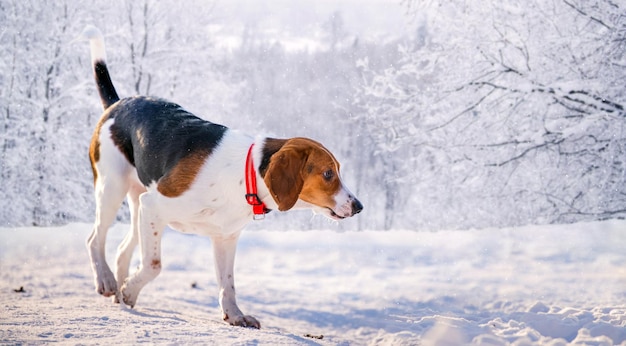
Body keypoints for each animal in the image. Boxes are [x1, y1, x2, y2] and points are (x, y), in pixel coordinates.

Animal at [83, 25, 364, 328]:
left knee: (123, 250)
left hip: (139, 209)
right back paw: (107, 281)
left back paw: (119, 295)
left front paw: (235, 314)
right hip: (114, 189)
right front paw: (131, 289)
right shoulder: (155, 206)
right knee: (95, 239)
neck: (246, 175)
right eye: (328, 173)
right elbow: (153, 265)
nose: (359, 206)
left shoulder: (224, 237)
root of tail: (117, 104)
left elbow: (228, 283)